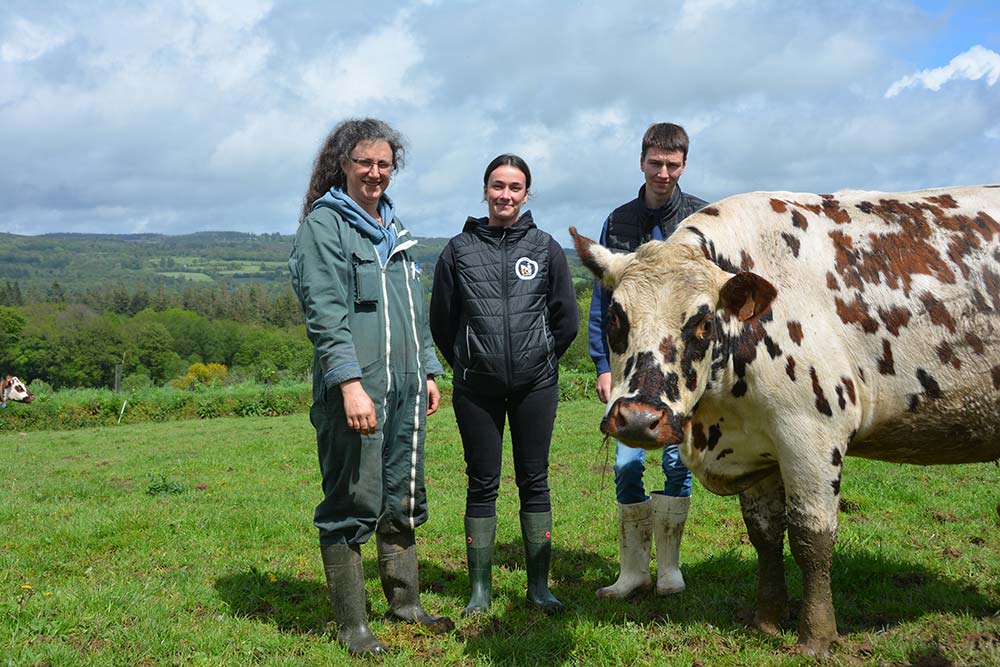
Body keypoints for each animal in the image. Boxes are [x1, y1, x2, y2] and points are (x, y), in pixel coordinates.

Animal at [572, 185, 1000, 656]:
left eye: (702, 322)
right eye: (616, 316)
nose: (638, 419)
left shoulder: (811, 438)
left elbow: (812, 538)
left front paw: (816, 636)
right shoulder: (756, 445)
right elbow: (764, 533)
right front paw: (767, 619)